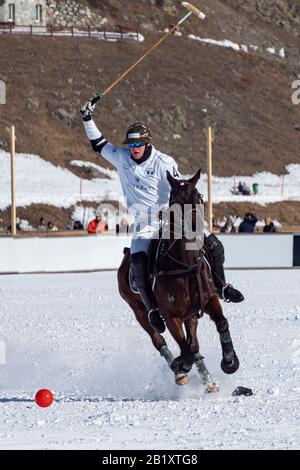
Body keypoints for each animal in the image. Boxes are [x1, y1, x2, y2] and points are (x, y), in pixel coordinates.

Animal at [118, 171, 239, 392]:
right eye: (174, 200)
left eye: (198, 196)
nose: (195, 227)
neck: (186, 264)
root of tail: (126, 254)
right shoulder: (170, 315)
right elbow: (185, 349)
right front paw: (180, 366)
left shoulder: (209, 300)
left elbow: (221, 323)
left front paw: (229, 361)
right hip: (138, 310)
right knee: (159, 340)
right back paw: (180, 372)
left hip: (190, 313)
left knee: (193, 344)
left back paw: (208, 380)